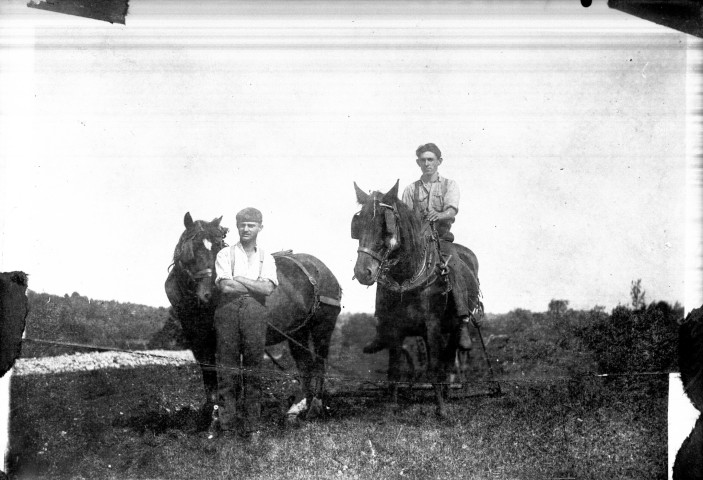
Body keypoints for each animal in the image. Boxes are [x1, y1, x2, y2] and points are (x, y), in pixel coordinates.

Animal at [165, 212, 340, 418]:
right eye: (191, 249)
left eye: (217, 248)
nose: (208, 294)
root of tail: (321, 268)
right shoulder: (197, 339)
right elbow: (208, 373)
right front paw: (210, 411)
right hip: (298, 332)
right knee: (305, 364)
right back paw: (296, 409)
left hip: (323, 327)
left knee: (320, 362)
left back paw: (315, 407)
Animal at [350, 181, 482, 416]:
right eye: (358, 224)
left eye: (386, 225)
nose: (363, 271)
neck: (407, 276)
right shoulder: (394, 328)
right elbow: (395, 368)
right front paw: (393, 405)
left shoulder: (432, 326)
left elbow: (435, 366)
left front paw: (441, 409)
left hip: (453, 325)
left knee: (450, 356)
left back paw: (447, 393)